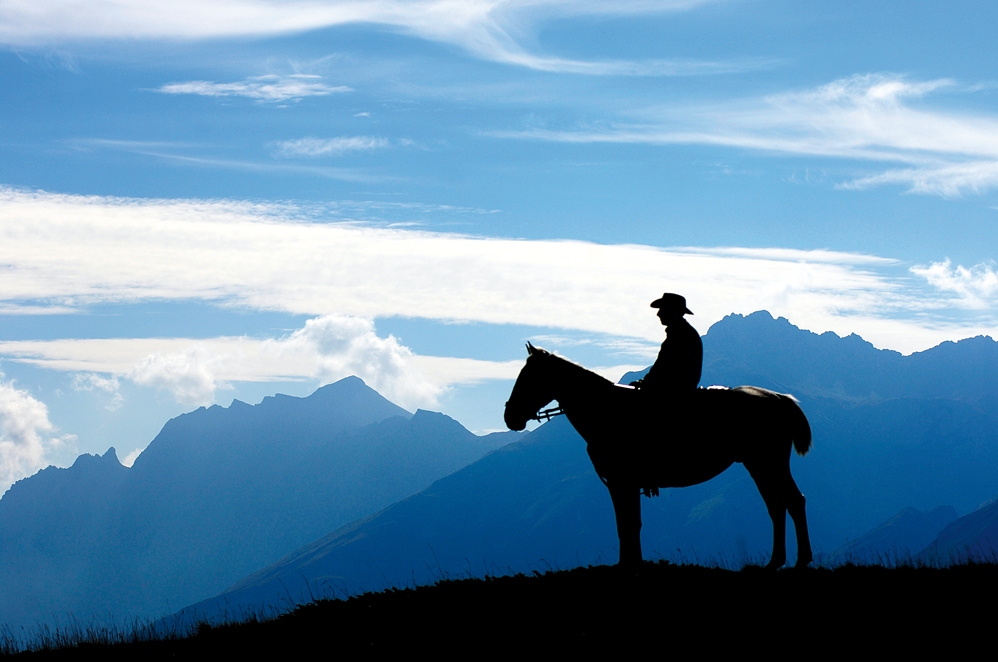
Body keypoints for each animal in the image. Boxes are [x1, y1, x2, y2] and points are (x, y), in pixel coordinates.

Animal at [504, 344, 813, 569]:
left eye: (529, 377)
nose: (510, 416)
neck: (607, 412)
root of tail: (779, 398)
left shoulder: (621, 482)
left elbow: (626, 524)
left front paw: (628, 565)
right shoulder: (625, 484)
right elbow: (631, 524)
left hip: (768, 463)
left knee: (792, 502)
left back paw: (800, 561)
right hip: (759, 465)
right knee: (777, 505)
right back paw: (776, 562)